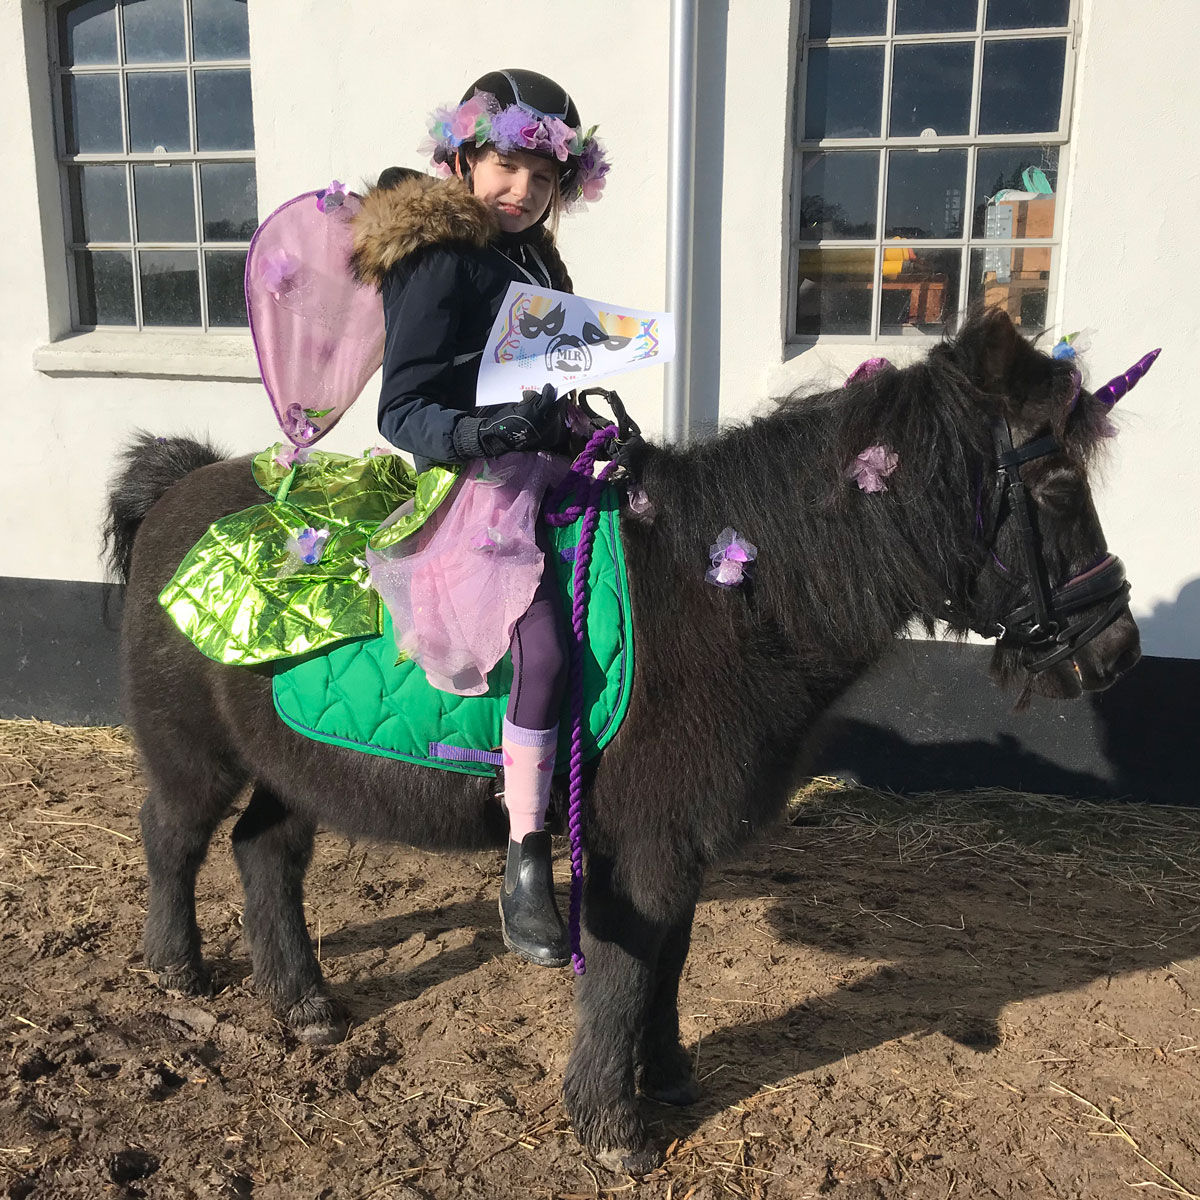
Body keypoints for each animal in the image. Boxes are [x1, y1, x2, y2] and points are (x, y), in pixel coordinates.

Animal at [100, 309, 1132, 1171]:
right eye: (1054, 484)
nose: (1116, 650)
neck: (731, 596)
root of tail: (178, 484)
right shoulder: (643, 849)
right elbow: (627, 972)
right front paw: (612, 1127)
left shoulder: (676, 844)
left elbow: (669, 961)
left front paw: (666, 1078)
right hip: (194, 757)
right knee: (174, 837)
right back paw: (178, 970)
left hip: (292, 766)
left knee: (263, 852)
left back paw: (304, 1004)